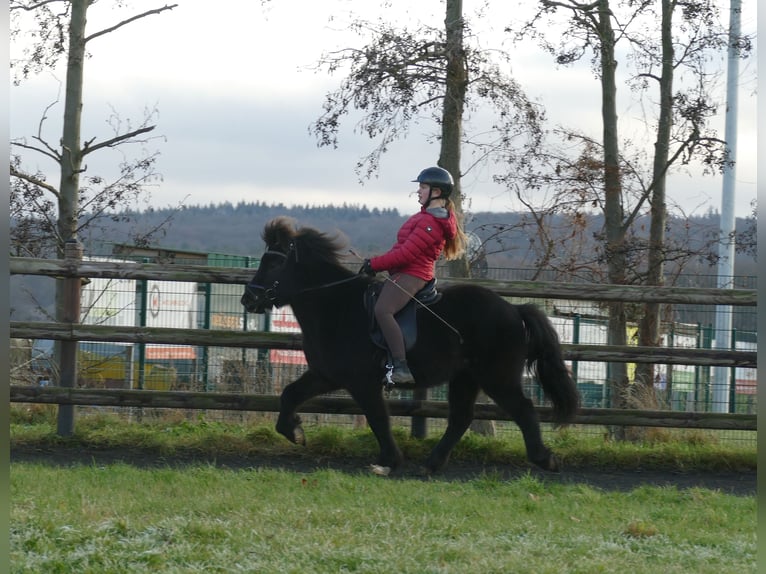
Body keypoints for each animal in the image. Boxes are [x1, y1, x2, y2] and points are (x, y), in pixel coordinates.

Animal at [243, 218, 580, 474]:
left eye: (273, 263)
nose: (249, 299)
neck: (336, 306)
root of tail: (514, 309)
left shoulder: (361, 382)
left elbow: (378, 419)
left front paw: (389, 461)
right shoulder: (327, 375)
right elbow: (290, 395)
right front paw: (295, 431)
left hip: (497, 377)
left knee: (523, 410)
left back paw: (544, 459)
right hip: (466, 378)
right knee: (461, 418)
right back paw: (431, 464)